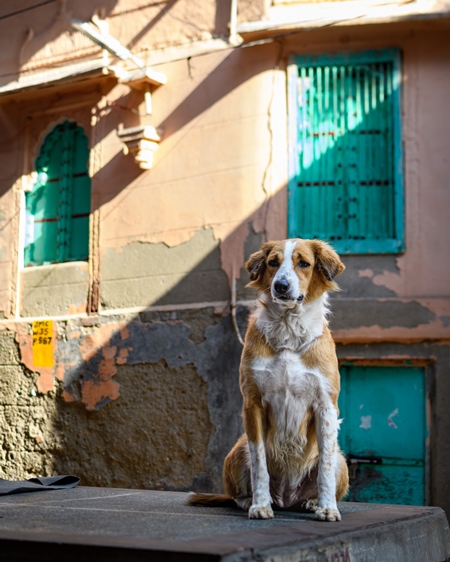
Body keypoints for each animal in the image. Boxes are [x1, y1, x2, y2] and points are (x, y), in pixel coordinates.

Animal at [188, 237, 350, 520]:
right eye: (273, 262)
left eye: (303, 263)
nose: (281, 285)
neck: (288, 330)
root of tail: (287, 497)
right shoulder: (252, 403)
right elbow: (259, 464)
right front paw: (260, 505)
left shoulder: (326, 405)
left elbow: (326, 470)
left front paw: (328, 508)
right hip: (236, 451)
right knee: (236, 493)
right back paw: (250, 501)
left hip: (342, 461)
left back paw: (313, 502)